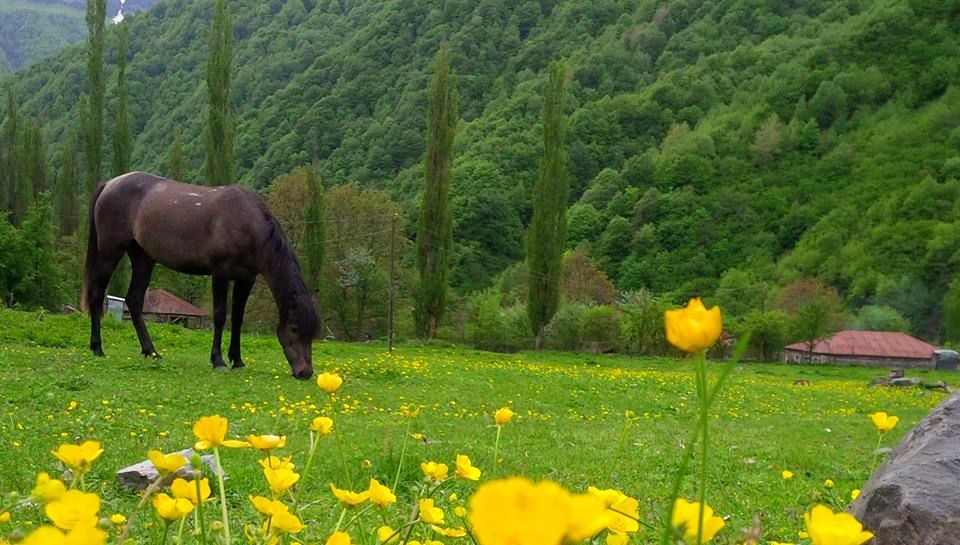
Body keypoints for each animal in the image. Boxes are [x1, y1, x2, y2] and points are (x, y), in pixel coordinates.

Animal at [82, 171, 316, 378]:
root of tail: (109, 184)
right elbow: (220, 316)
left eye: (312, 332)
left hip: (143, 259)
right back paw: (97, 348)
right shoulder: (220, 273)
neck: (246, 223)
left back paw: (151, 352)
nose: (305, 373)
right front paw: (218, 360)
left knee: (134, 300)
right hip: (111, 252)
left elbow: (237, 318)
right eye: (294, 329)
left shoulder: (246, 278)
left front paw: (238, 361)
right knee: (97, 294)